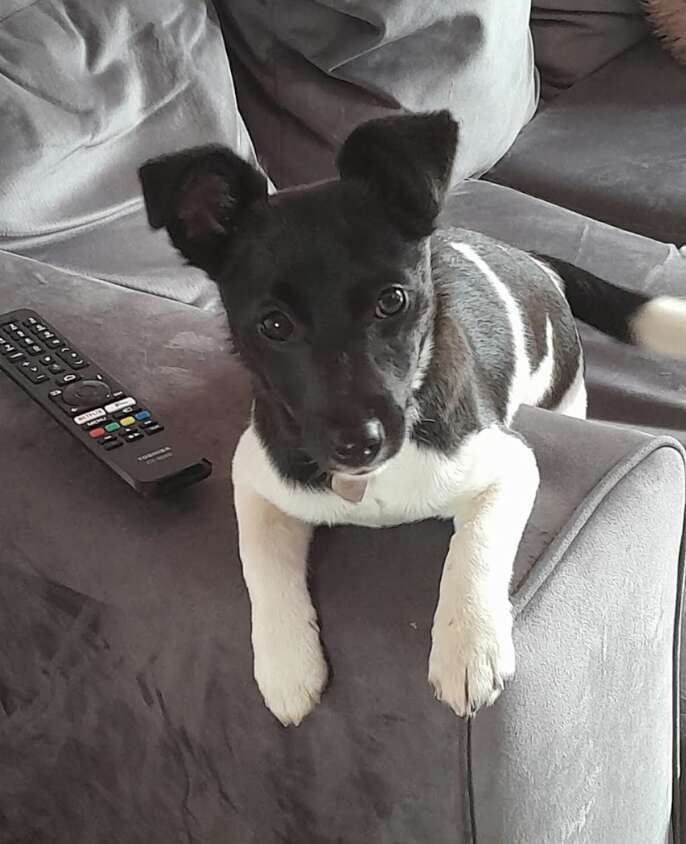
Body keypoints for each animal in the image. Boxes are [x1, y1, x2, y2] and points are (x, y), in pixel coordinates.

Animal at [138, 110, 686, 724]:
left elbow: (474, 548)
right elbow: (261, 565)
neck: (371, 487)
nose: (359, 444)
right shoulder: (255, 479)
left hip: (563, 395)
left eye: (392, 302)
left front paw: (468, 646)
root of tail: (533, 261)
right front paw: (286, 667)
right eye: (273, 325)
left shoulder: (508, 464)